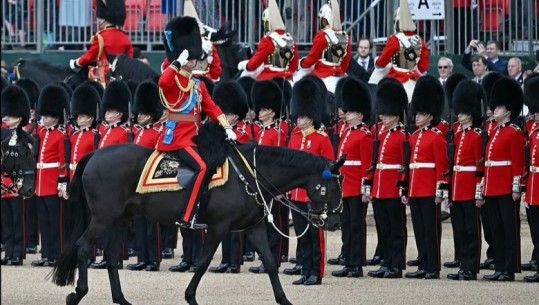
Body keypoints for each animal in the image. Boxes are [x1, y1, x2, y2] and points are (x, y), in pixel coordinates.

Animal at [51, 121, 346, 304]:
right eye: (332, 187)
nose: (333, 222)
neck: (250, 176)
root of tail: (96, 155)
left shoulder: (254, 227)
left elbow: (271, 263)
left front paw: (284, 300)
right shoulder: (219, 226)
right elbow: (203, 262)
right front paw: (190, 297)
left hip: (121, 219)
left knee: (112, 257)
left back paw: (121, 299)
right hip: (103, 218)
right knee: (82, 246)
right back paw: (78, 293)